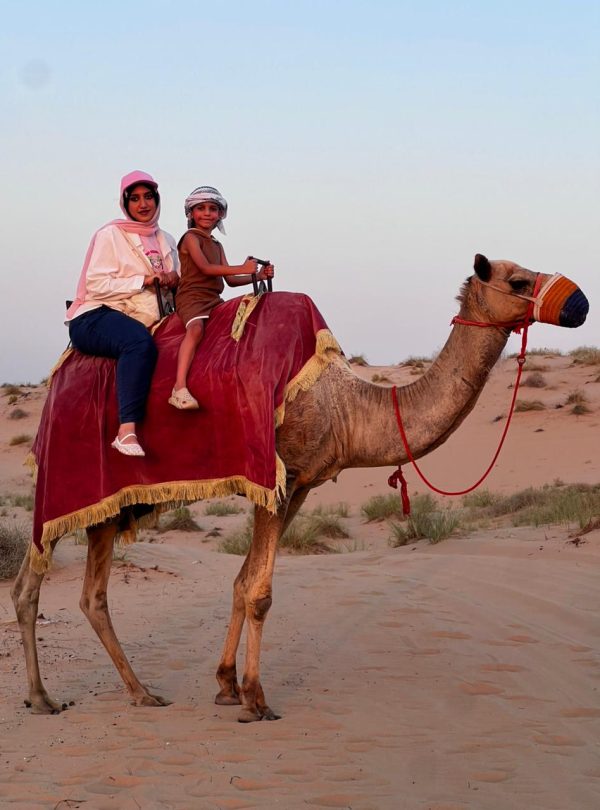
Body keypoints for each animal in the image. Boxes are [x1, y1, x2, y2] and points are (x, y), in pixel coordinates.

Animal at [11, 254, 588, 722]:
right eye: (519, 280)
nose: (581, 303)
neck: (346, 406)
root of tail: (58, 378)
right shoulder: (277, 478)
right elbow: (260, 593)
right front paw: (255, 699)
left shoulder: (302, 484)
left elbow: (241, 581)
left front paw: (226, 686)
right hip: (71, 482)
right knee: (47, 577)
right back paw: (60, 696)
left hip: (110, 507)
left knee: (75, 591)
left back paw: (117, 692)